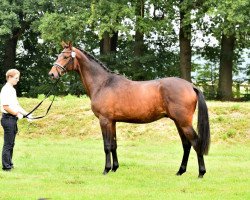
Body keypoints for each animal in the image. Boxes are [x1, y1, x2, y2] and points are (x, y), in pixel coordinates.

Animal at [48, 41, 209, 177]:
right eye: (58, 55)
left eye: (66, 56)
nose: (52, 74)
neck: (103, 83)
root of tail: (191, 86)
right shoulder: (112, 122)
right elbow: (114, 145)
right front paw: (114, 168)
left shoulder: (104, 120)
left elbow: (107, 145)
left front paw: (106, 169)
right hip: (178, 122)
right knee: (186, 145)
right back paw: (180, 171)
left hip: (184, 123)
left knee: (195, 143)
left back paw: (201, 173)